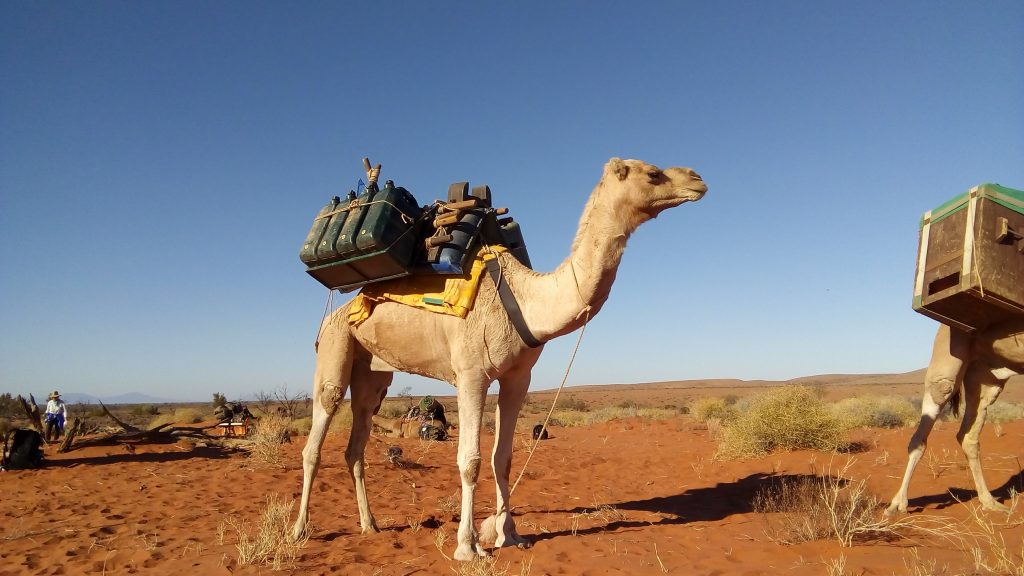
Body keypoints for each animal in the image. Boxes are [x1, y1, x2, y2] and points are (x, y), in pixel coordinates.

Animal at [290, 158, 706, 560]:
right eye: (653, 173)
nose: (697, 179)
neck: (527, 299)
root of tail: (337, 312)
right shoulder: (471, 375)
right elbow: (470, 460)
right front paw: (467, 546)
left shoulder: (517, 378)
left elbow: (502, 458)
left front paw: (511, 535)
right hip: (335, 346)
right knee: (317, 436)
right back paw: (300, 531)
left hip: (373, 373)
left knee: (357, 440)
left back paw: (370, 525)